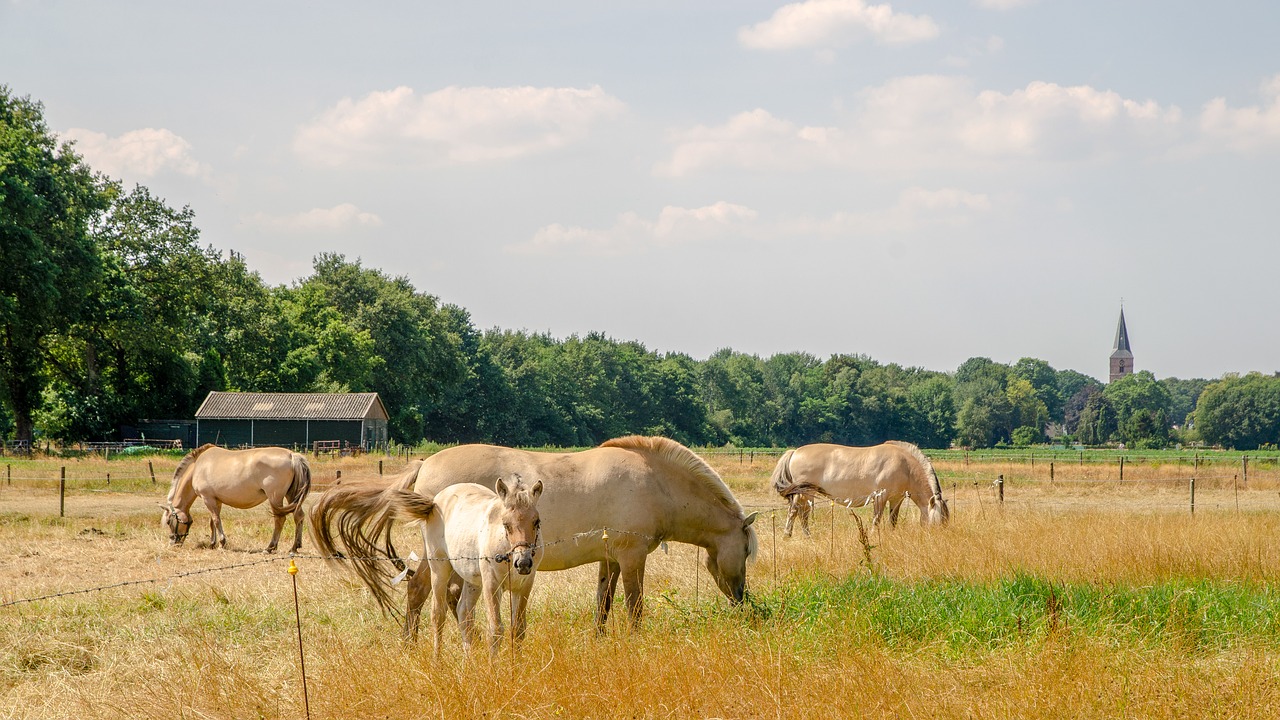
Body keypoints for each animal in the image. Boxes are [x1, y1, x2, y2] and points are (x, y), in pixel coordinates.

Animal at [162, 443, 312, 548]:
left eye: (169, 521)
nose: (173, 543)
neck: (198, 467)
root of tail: (292, 455)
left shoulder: (208, 498)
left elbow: (216, 520)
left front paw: (222, 543)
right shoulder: (216, 500)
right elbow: (213, 521)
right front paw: (212, 543)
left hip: (275, 498)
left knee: (280, 519)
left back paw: (270, 547)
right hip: (292, 495)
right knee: (298, 516)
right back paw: (295, 547)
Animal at [307, 430, 757, 632]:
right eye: (747, 552)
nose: (743, 600)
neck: (655, 483)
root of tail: (425, 464)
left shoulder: (610, 560)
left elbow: (603, 605)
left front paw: (600, 643)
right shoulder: (632, 559)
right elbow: (634, 607)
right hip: (444, 557)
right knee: (420, 593)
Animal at [394, 474, 545, 653]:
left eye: (536, 522)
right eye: (506, 524)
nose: (523, 563)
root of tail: (435, 502)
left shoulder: (524, 586)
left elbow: (518, 629)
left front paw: (515, 661)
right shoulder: (492, 584)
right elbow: (495, 629)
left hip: (472, 580)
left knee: (464, 613)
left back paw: (469, 659)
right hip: (439, 569)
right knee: (438, 614)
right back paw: (437, 658)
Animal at [762, 440, 947, 535]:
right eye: (937, 521)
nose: (938, 538)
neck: (905, 465)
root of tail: (794, 452)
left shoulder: (896, 499)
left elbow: (892, 520)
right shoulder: (880, 497)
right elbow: (876, 519)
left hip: (808, 494)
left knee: (802, 514)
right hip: (804, 493)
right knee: (796, 512)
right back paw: (791, 536)